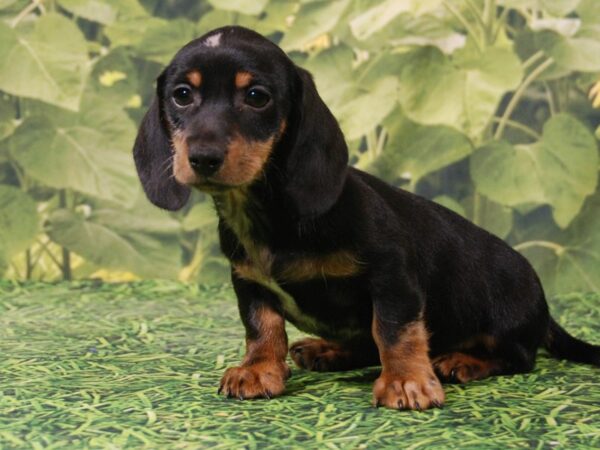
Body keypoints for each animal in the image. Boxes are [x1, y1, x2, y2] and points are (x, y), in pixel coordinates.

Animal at [135, 26, 600, 410]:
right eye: (181, 94)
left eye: (256, 97)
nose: (203, 158)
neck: (267, 214)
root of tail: (543, 308)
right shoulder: (249, 282)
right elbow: (262, 328)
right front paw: (258, 370)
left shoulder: (392, 274)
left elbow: (394, 331)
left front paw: (406, 382)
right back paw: (328, 349)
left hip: (505, 320)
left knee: (517, 357)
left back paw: (461, 361)